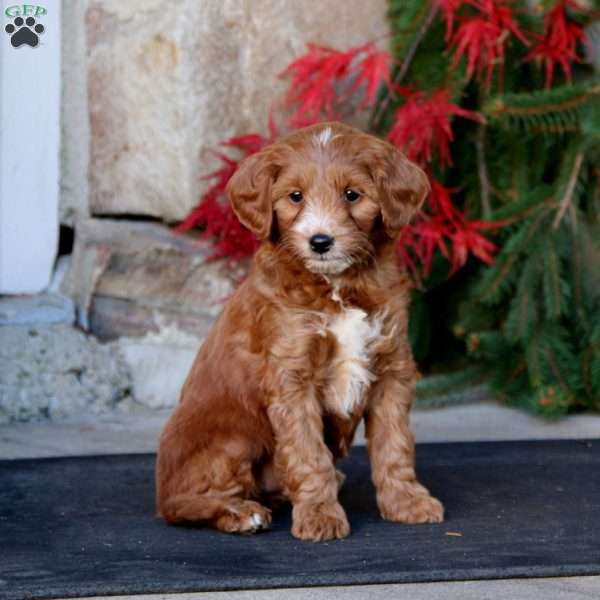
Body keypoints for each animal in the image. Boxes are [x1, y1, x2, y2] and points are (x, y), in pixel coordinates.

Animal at [157, 120, 442, 540]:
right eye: (295, 196)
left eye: (352, 194)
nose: (320, 241)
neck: (337, 287)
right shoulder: (292, 377)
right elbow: (309, 454)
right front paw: (320, 515)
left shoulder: (393, 368)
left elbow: (395, 444)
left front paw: (407, 502)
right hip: (230, 440)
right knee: (183, 505)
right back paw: (241, 512)